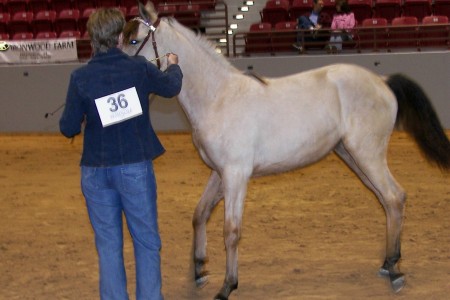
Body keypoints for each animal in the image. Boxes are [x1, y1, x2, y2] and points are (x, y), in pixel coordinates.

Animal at [122, 2, 450, 300]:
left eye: (134, 41)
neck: (219, 97)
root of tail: (382, 82)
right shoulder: (219, 173)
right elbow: (199, 214)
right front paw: (200, 270)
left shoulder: (236, 176)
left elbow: (231, 231)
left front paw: (227, 286)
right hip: (353, 156)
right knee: (388, 200)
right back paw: (387, 263)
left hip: (367, 155)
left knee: (394, 197)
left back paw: (395, 271)